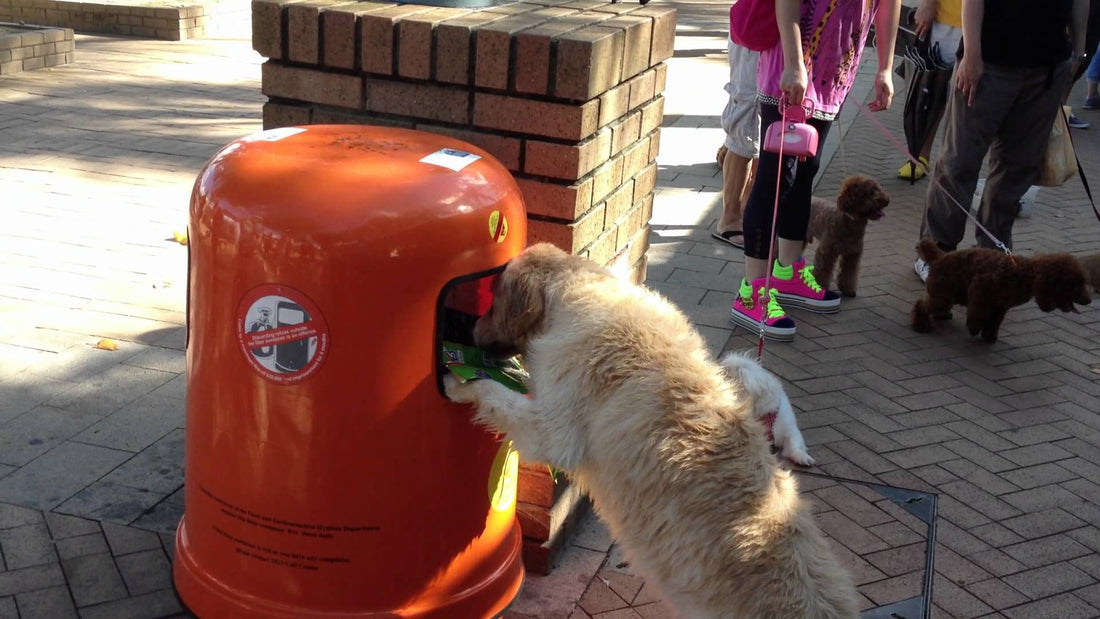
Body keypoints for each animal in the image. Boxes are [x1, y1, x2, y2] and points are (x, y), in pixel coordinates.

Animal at [444, 242, 858, 619]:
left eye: (493, 301)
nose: (467, 330)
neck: (575, 289)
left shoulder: (554, 430)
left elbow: (495, 395)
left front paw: (459, 382)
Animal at [910, 238, 1091, 343]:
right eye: (1075, 284)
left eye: (1083, 282)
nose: (1088, 300)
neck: (1024, 274)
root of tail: (940, 257)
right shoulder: (979, 290)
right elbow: (977, 315)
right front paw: (974, 328)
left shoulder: (1000, 306)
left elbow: (994, 322)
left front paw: (989, 335)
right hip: (944, 295)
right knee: (921, 304)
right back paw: (921, 325)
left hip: (949, 293)